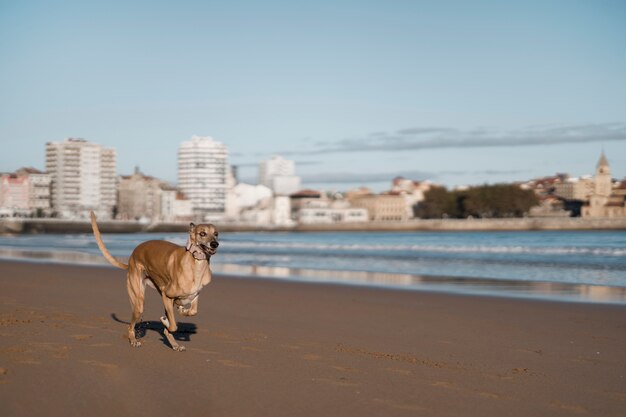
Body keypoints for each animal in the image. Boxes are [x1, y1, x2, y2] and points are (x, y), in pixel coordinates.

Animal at [89, 211, 218, 352]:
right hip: (139, 302)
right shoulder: (166, 294)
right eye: (202, 233)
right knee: (131, 326)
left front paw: (182, 311)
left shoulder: (194, 295)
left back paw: (175, 344)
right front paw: (166, 321)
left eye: (216, 234)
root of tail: (131, 259)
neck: (195, 263)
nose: (214, 244)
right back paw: (134, 340)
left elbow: (192, 311)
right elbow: (173, 326)